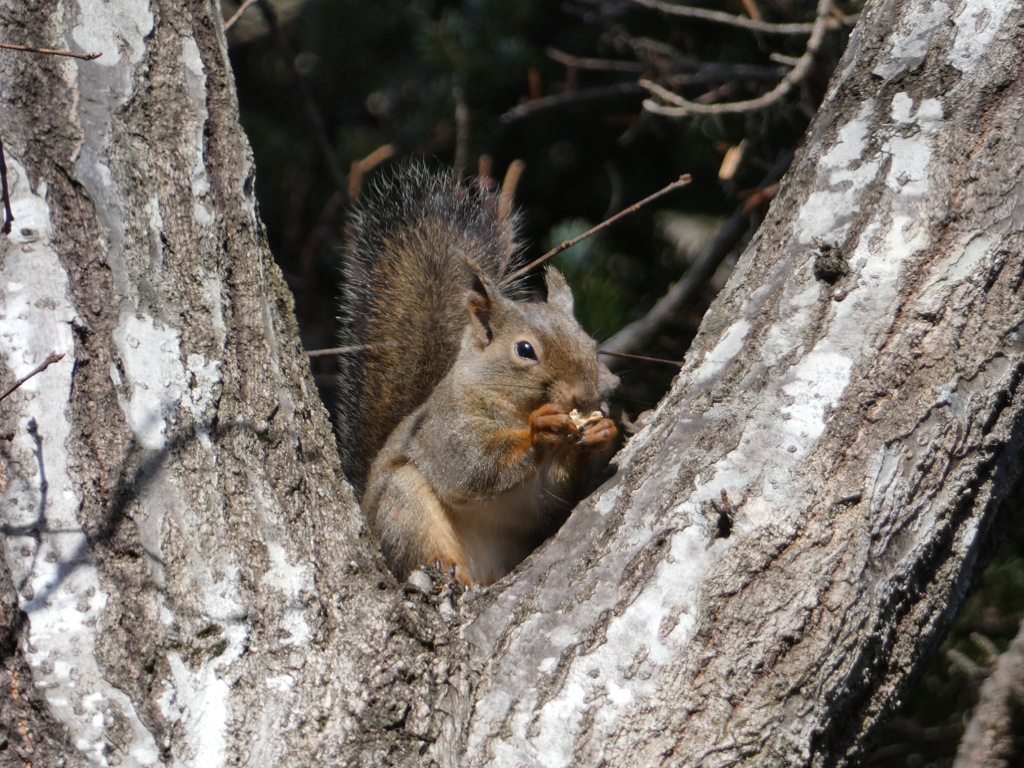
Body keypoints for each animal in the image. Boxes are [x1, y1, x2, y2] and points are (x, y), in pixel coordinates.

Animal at [339, 166, 618, 589]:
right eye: (525, 350)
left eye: (591, 343)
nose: (584, 398)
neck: (511, 408)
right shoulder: (448, 429)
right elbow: (474, 469)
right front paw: (541, 429)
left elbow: (557, 496)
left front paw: (599, 433)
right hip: (403, 502)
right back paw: (444, 565)